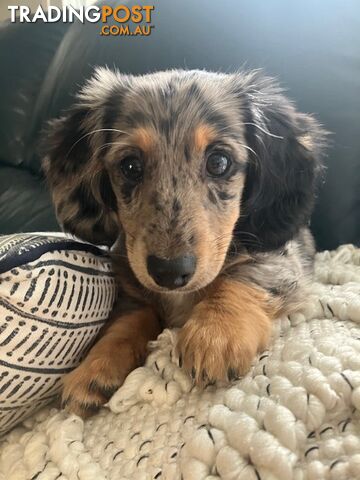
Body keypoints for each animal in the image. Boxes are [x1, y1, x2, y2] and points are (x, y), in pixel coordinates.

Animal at [42, 68, 326, 416]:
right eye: (130, 166)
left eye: (219, 162)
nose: (169, 272)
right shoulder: (131, 288)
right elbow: (126, 321)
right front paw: (95, 368)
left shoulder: (280, 261)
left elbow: (241, 276)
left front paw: (216, 333)